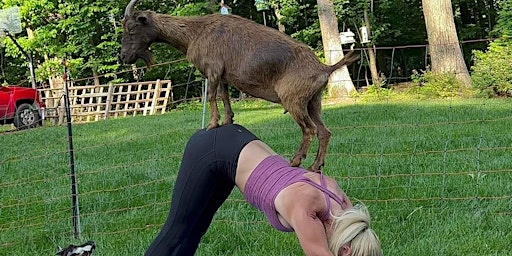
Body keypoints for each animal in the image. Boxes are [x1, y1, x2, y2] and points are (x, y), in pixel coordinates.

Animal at [120, 1, 360, 172]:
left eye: (131, 28)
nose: (123, 56)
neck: (193, 32)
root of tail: (324, 68)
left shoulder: (212, 69)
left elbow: (211, 97)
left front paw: (212, 125)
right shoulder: (224, 75)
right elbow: (224, 97)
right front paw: (227, 120)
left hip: (294, 100)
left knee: (309, 129)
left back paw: (295, 161)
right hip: (313, 102)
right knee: (324, 131)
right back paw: (315, 165)